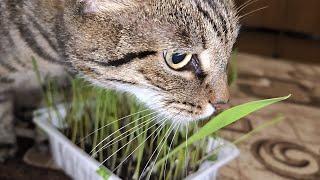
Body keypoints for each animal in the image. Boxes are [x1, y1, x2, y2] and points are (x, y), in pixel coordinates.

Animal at [0, 0, 239, 160]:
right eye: (178, 58)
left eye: (229, 52)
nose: (223, 103)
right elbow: (5, 110)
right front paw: (7, 143)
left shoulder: (59, 80)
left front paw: (41, 134)